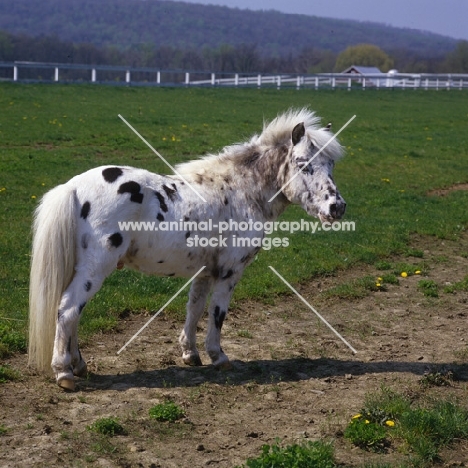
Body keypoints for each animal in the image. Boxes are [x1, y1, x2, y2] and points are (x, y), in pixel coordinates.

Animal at [27, 108, 346, 390]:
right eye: (303, 164)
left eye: (330, 165)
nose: (337, 207)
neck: (241, 191)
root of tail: (73, 187)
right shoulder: (229, 273)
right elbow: (217, 313)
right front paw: (218, 356)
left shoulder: (204, 271)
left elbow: (194, 308)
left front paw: (190, 353)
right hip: (95, 268)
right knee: (68, 309)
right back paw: (64, 372)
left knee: (73, 314)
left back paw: (78, 365)